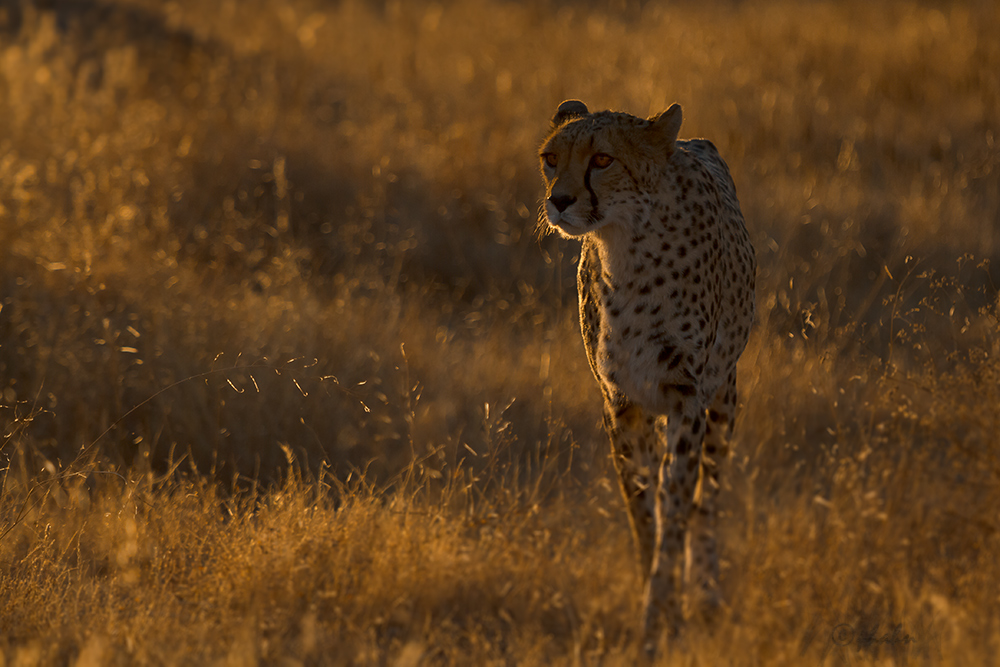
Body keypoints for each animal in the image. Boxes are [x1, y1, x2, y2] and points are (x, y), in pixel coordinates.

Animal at [536, 102, 752, 656]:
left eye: (603, 159)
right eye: (551, 159)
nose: (559, 201)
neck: (626, 248)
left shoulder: (686, 398)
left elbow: (676, 506)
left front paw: (662, 615)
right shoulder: (621, 403)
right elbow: (642, 510)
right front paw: (653, 599)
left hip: (724, 397)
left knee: (708, 499)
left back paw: (707, 592)